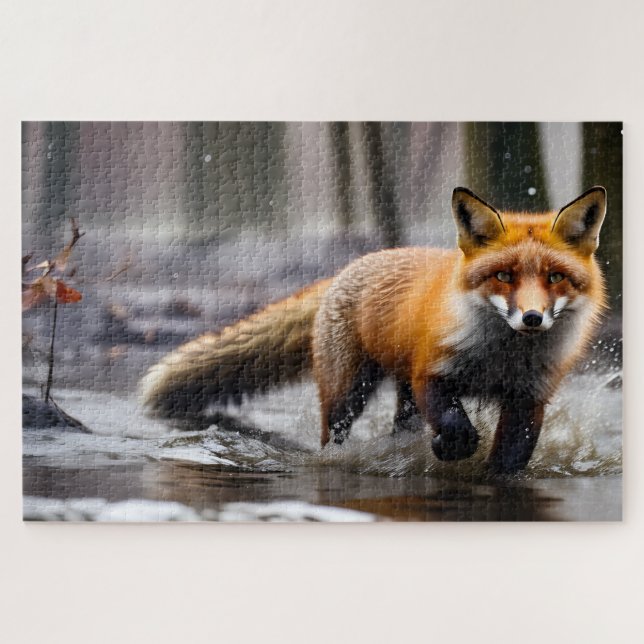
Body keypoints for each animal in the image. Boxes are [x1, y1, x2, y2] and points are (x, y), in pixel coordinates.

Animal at [140, 186, 608, 472]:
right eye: (504, 276)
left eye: (555, 278)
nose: (532, 318)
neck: (501, 359)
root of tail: (350, 267)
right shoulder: (431, 372)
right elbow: (453, 421)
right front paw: (453, 447)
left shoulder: (529, 397)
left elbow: (509, 460)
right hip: (349, 390)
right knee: (334, 435)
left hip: (398, 393)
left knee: (399, 427)